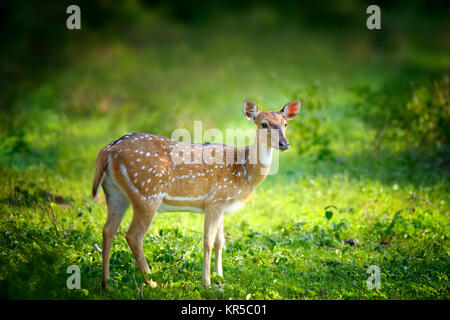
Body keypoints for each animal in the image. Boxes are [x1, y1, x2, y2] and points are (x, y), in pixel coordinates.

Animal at [92, 99, 300, 288]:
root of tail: (108, 150)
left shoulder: (221, 204)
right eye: (264, 124)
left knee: (108, 230)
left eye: (285, 124)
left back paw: (106, 284)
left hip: (115, 194)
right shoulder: (215, 200)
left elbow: (220, 241)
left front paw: (220, 279)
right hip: (147, 193)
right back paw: (151, 283)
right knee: (133, 236)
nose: (284, 143)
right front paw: (206, 282)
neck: (244, 171)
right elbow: (208, 241)